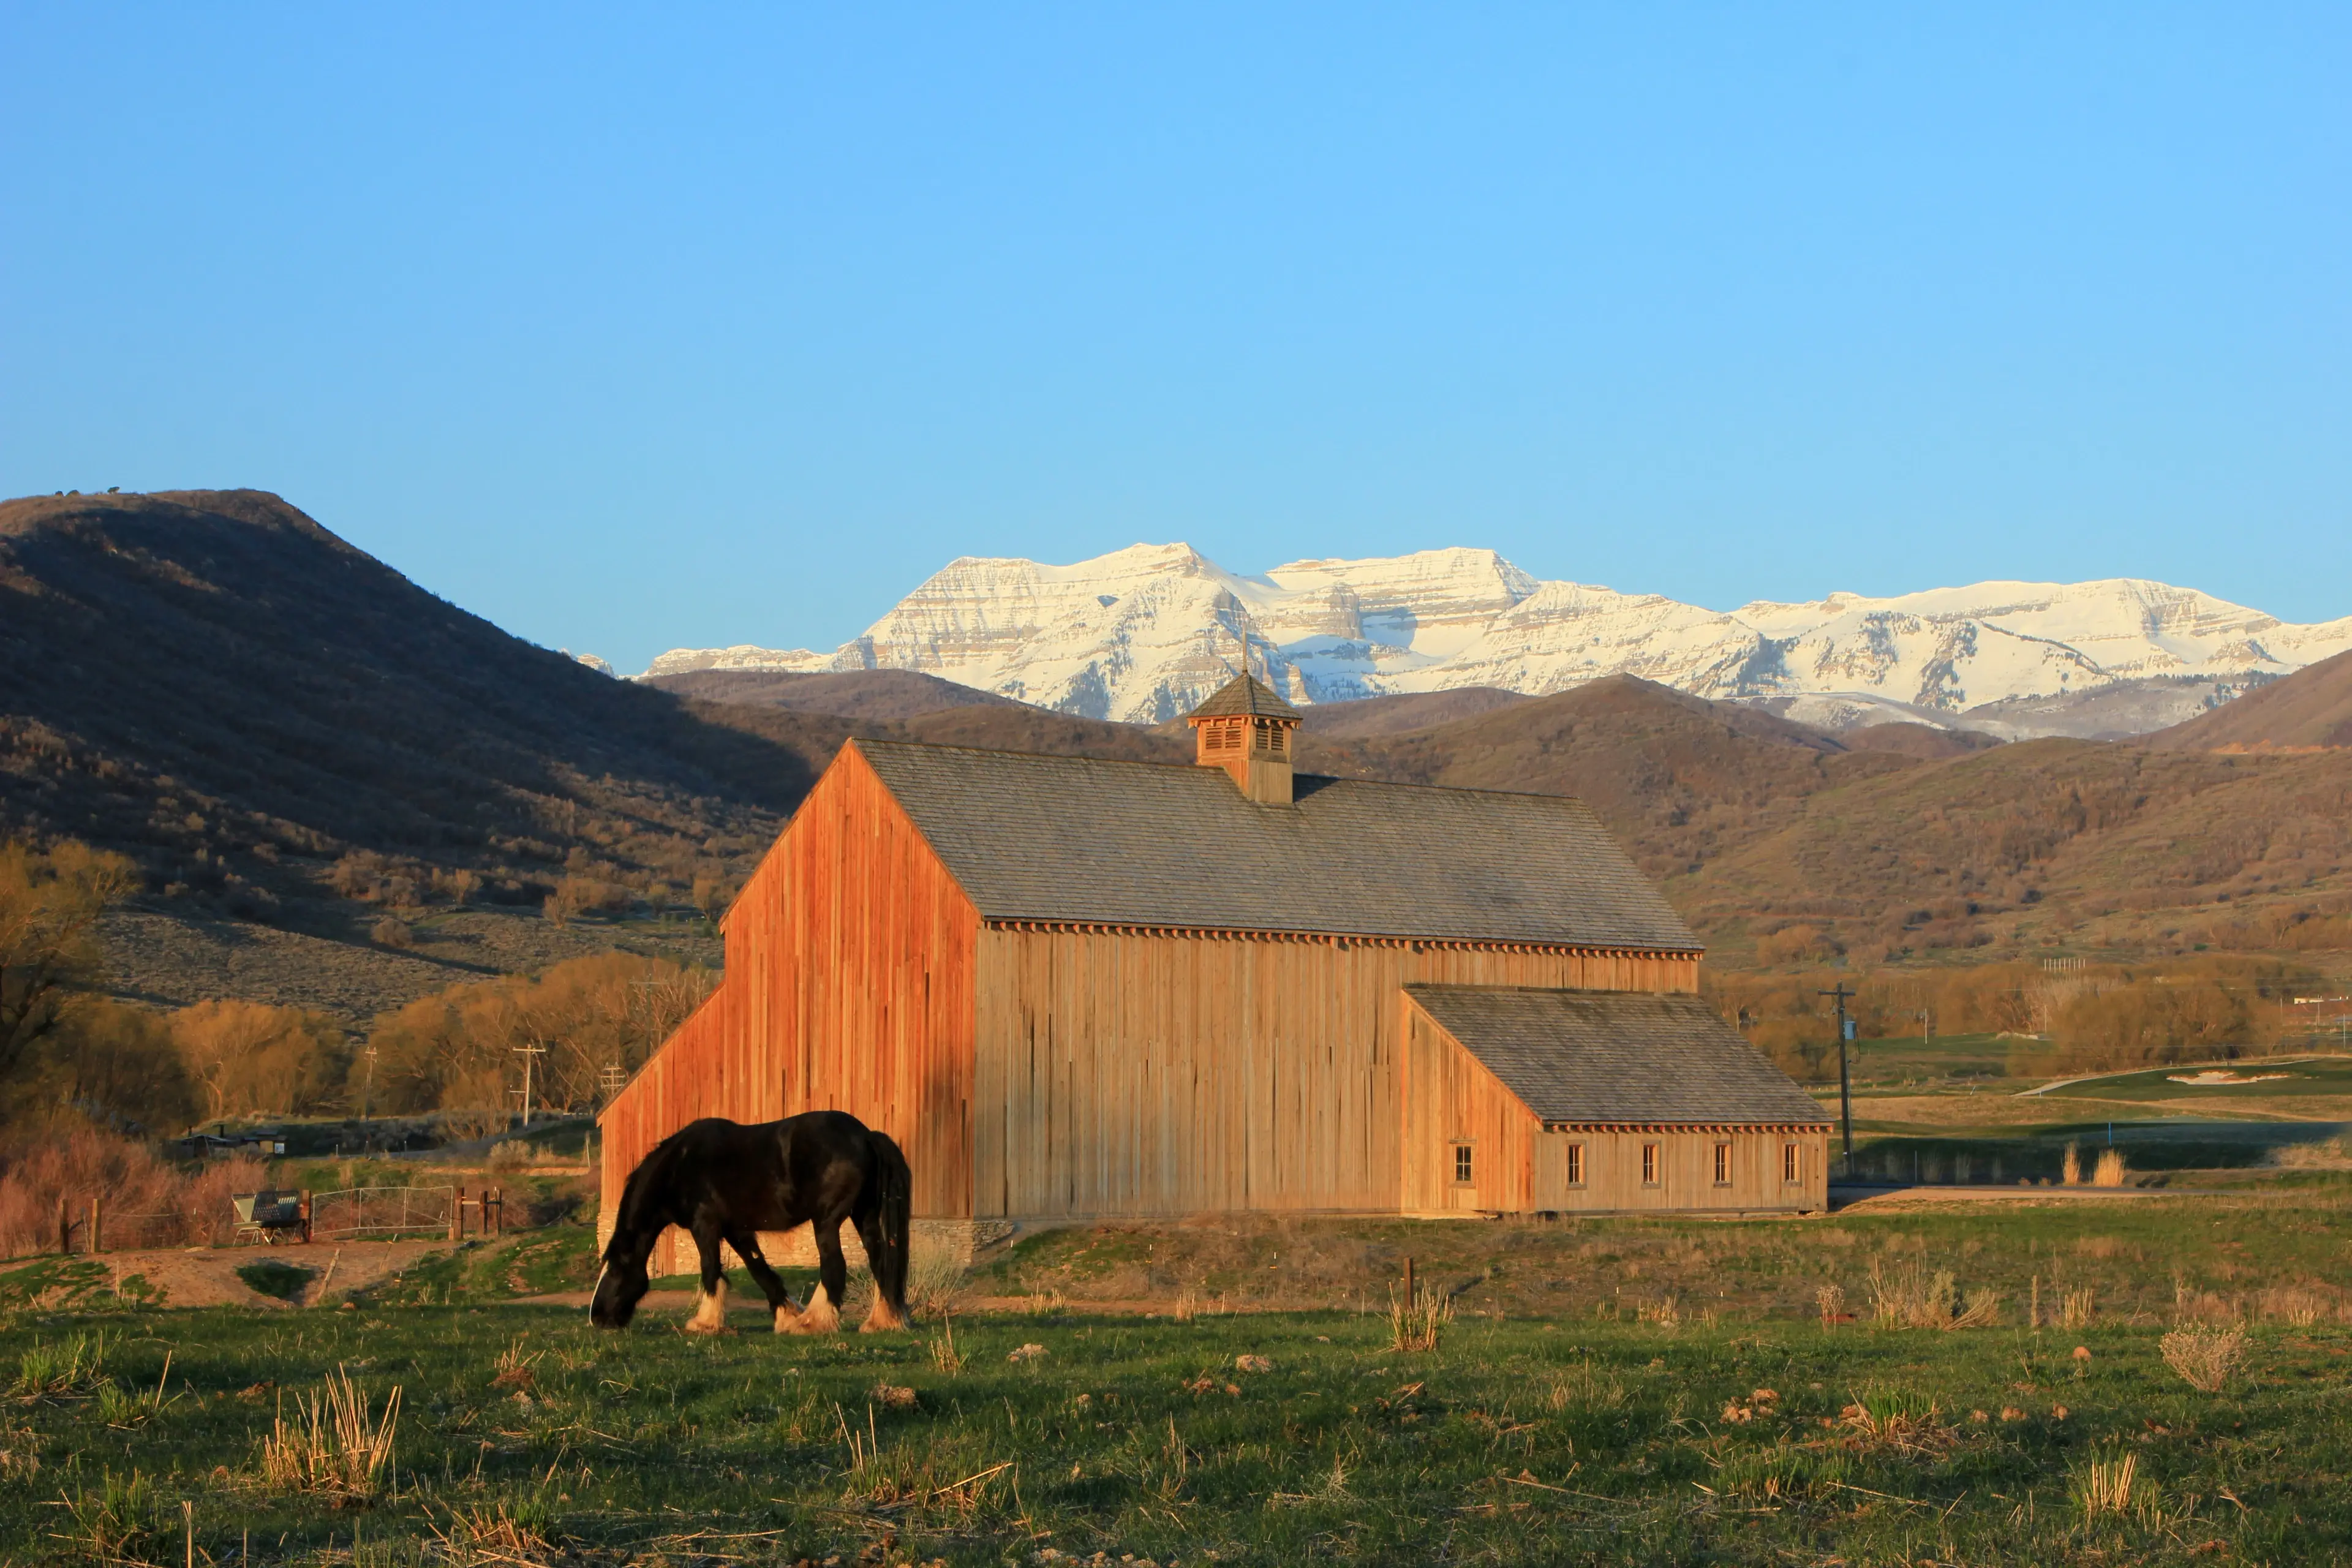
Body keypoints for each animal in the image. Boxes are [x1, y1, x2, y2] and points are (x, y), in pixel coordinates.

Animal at [592, 1104, 912, 1335]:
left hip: (827, 1221)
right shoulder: (737, 1230)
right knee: (880, 1259)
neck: (679, 1166)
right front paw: (785, 1314)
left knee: (835, 1265)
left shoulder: (705, 1227)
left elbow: (710, 1269)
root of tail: (867, 1135)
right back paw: (882, 1321)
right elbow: (760, 1269)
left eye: (616, 1271)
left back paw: (813, 1322)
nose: (597, 1318)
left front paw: (705, 1323)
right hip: (863, 1214)